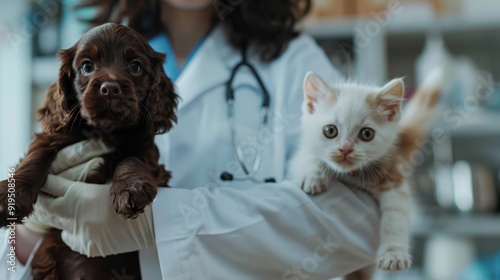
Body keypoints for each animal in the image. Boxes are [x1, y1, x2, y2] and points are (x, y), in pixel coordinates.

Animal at [0, 22, 179, 280]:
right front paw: (10, 198)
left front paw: (129, 190)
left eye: (135, 66)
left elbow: (132, 159)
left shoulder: (148, 152)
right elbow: (35, 158)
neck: (106, 131)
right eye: (87, 66)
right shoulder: (53, 135)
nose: (110, 88)